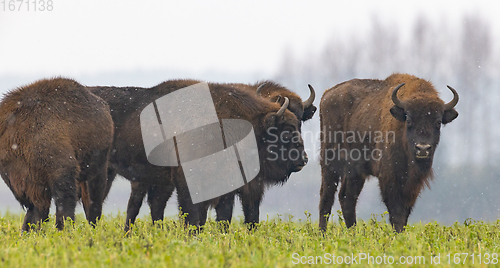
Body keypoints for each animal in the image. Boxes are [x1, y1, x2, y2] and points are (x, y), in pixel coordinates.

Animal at [0, 77, 113, 230]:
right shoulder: (27, 182)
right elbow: (35, 212)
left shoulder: (61, 171)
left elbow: (64, 206)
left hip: (96, 168)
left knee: (93, 201)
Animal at [86, 80, 306, 230]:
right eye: (286, 131)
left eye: (299, 125)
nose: (303, 159)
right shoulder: (188, 183)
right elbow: (192, 216)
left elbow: (221, 217)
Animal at [320, 74, 458, 232]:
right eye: (409, 120)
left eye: (438, 122)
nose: (422, 148)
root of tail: (326, 95)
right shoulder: (389, 177)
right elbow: (396, 211)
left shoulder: (412, 184)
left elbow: (405, 211)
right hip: (329, 162)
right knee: (326, 197)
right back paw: (322, 233)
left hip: (355, 171)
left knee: (347, 198)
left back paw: (353, 233)